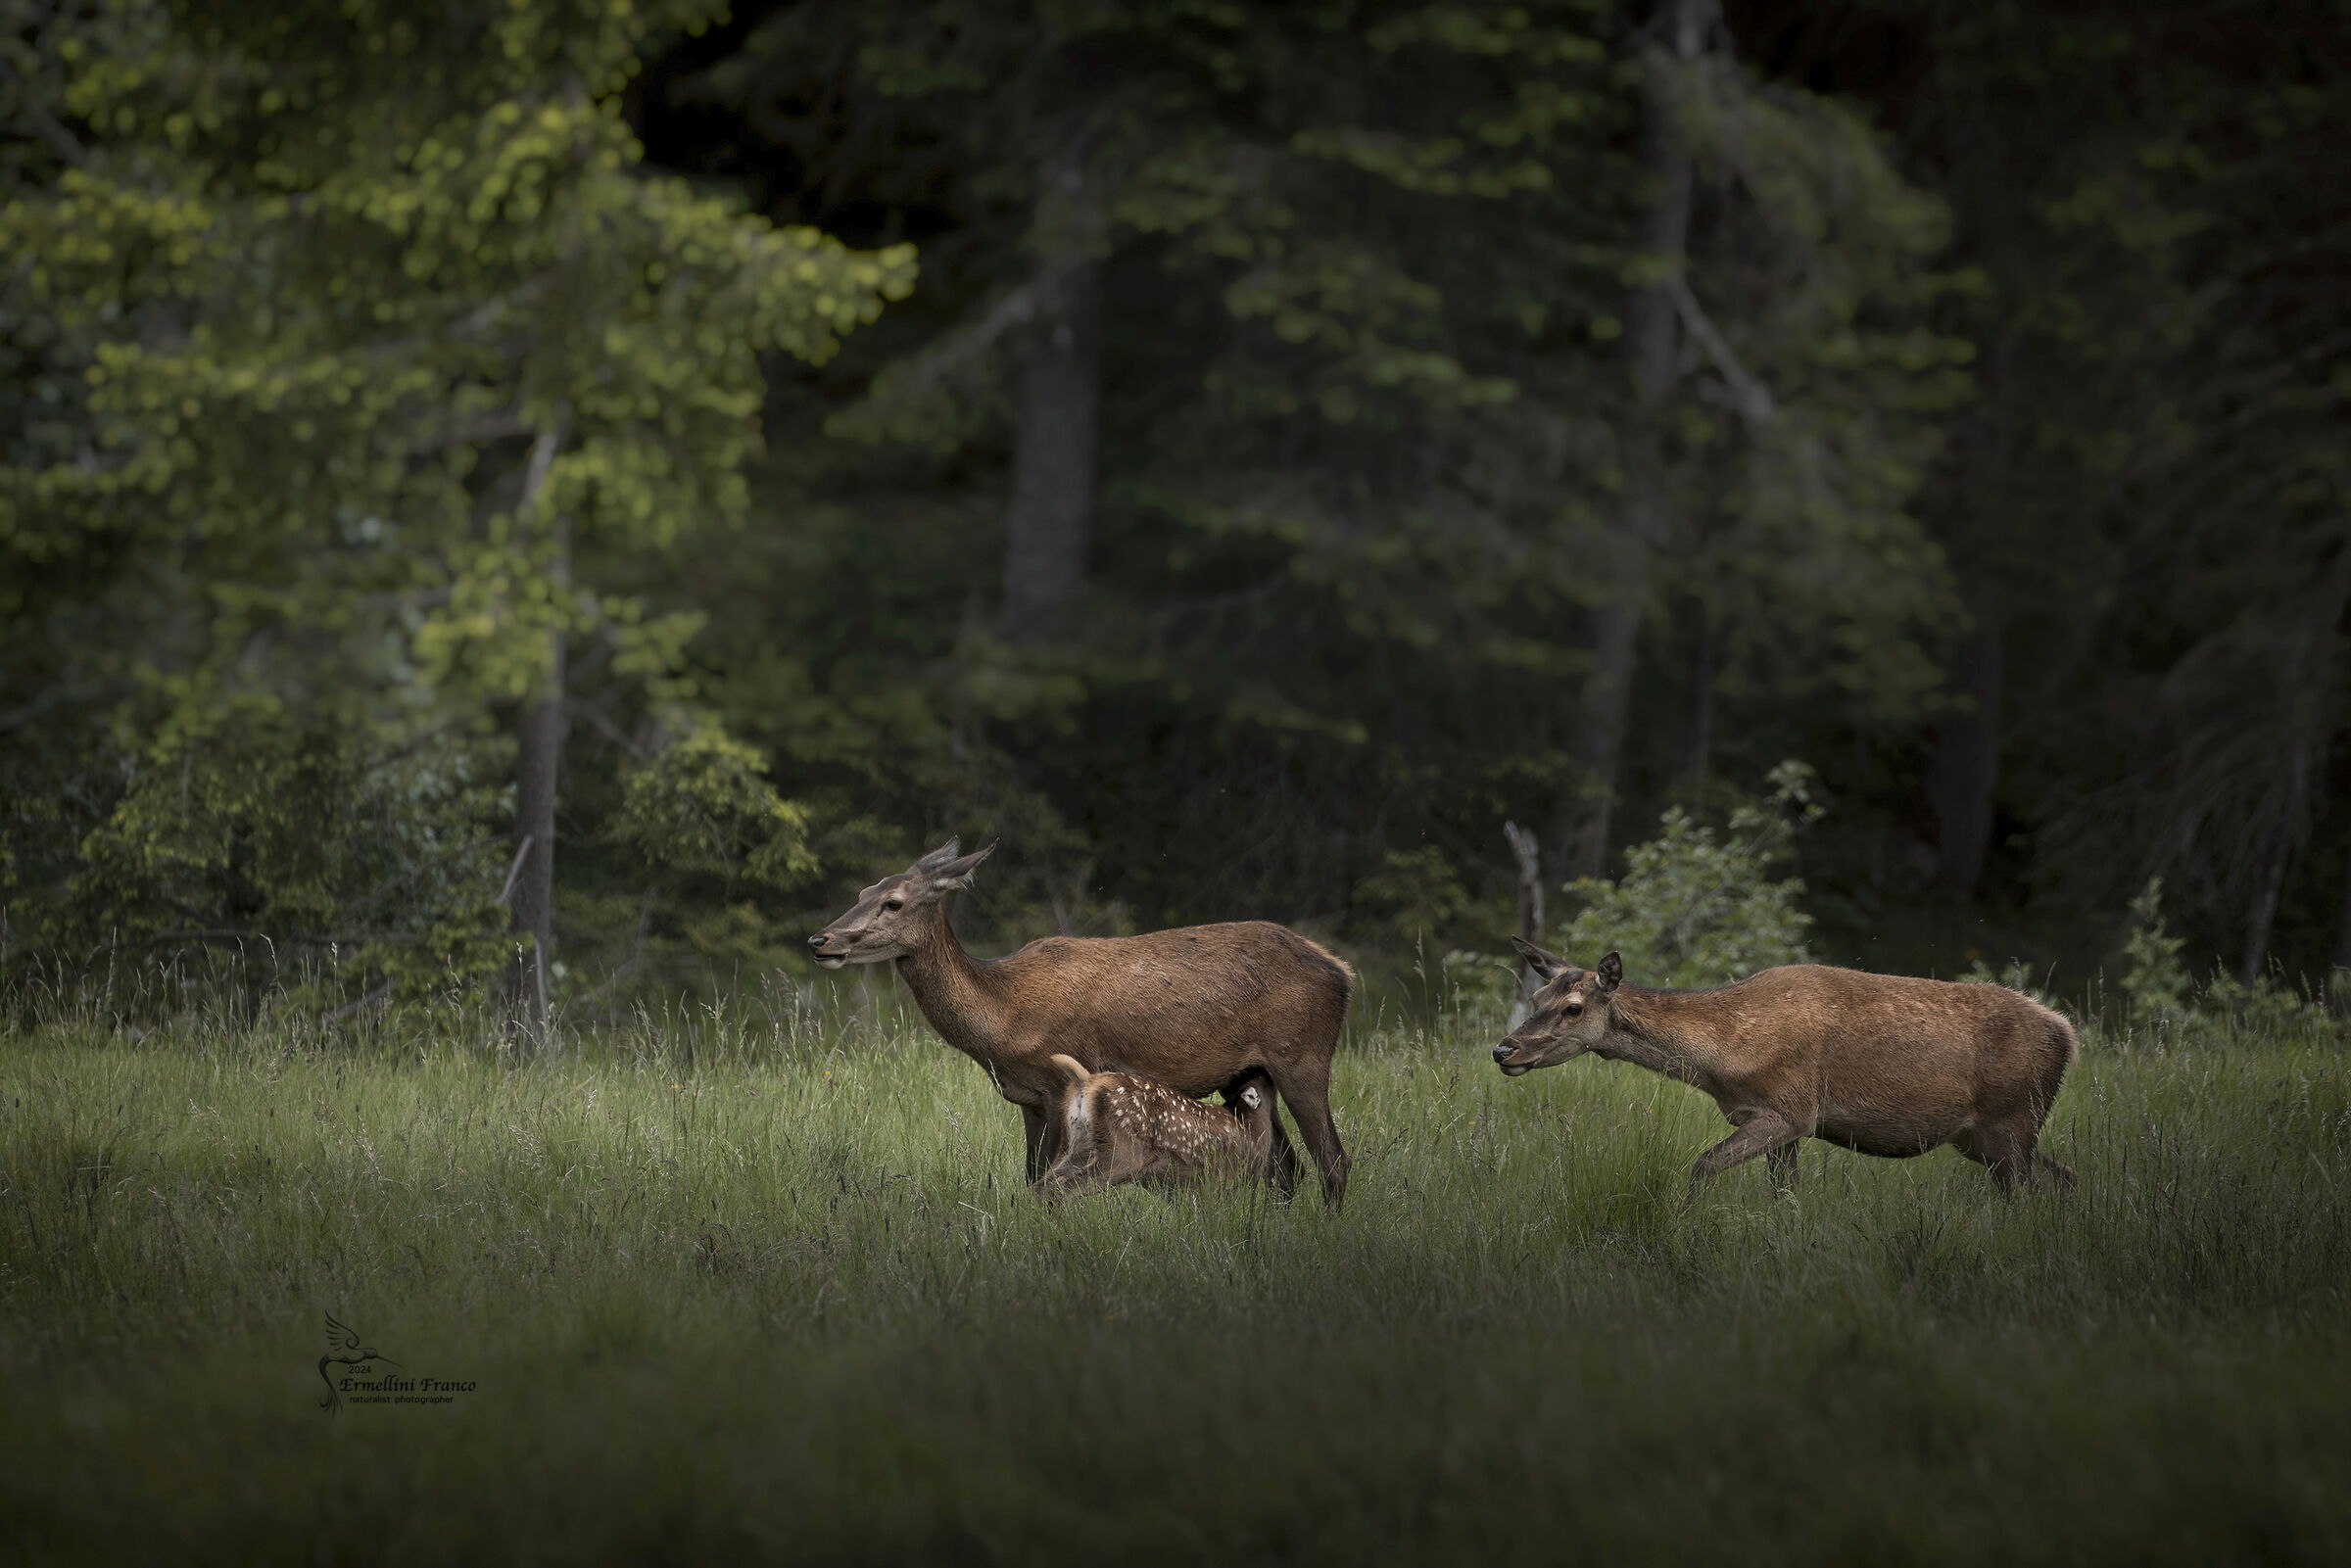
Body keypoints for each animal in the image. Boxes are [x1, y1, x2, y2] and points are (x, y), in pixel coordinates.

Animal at [1039, 1055, 1279, 1200]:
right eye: (1262, 1078)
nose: (1264, 1069)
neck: (1250, 1132)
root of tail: (1087, 1080)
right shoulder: (1228, 1179)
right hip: (1122, 1151)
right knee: (1062, 1190)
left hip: (1080, 1144)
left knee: (1043, 1185)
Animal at [1492, 941, 2078, 1196]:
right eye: (1537, 996)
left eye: (1573, 1008)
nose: (1504, 1051)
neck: (1721, 1056)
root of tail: (2068, 1034)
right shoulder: (1779, 1124)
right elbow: (1786, 1197)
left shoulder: (1791, 1110)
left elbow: (1700, 1166)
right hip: (1979, 1138)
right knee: (2064, 1178)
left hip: (2011, 1119)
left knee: (2028, 1192)